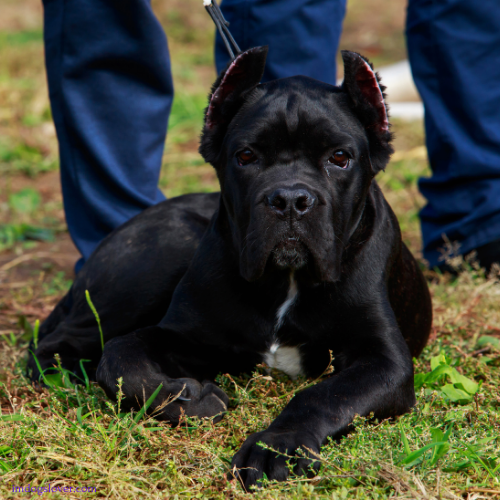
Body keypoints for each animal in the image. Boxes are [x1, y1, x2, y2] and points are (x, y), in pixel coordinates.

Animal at [29, 48, 432, 490]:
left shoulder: (385, 361)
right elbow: (120, 356)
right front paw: (188, 398)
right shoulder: (185, 336)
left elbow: (322, 394)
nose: (290, 199)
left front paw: (277, 445)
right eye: (246, 156)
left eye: (339, 158)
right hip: (160, 257)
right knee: (57, 344)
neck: (287, 281)